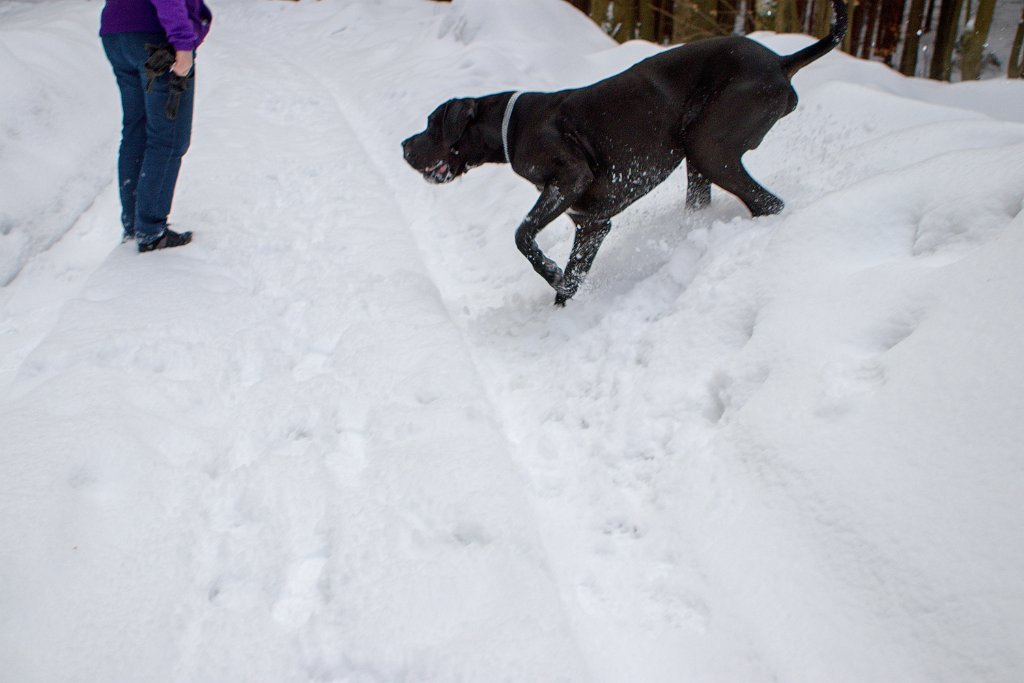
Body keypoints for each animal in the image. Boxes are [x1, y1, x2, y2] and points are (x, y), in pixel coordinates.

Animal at [399, 0, 847, 305]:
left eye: (432, 123)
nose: (403, 145)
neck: (512, 124)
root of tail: (781, 61)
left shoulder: (569, 179)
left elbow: (522, 236)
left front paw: (553, 274)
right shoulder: (591, 224)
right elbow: (571, 279)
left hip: (708, 145)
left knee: (768, 203)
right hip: (699, 161)